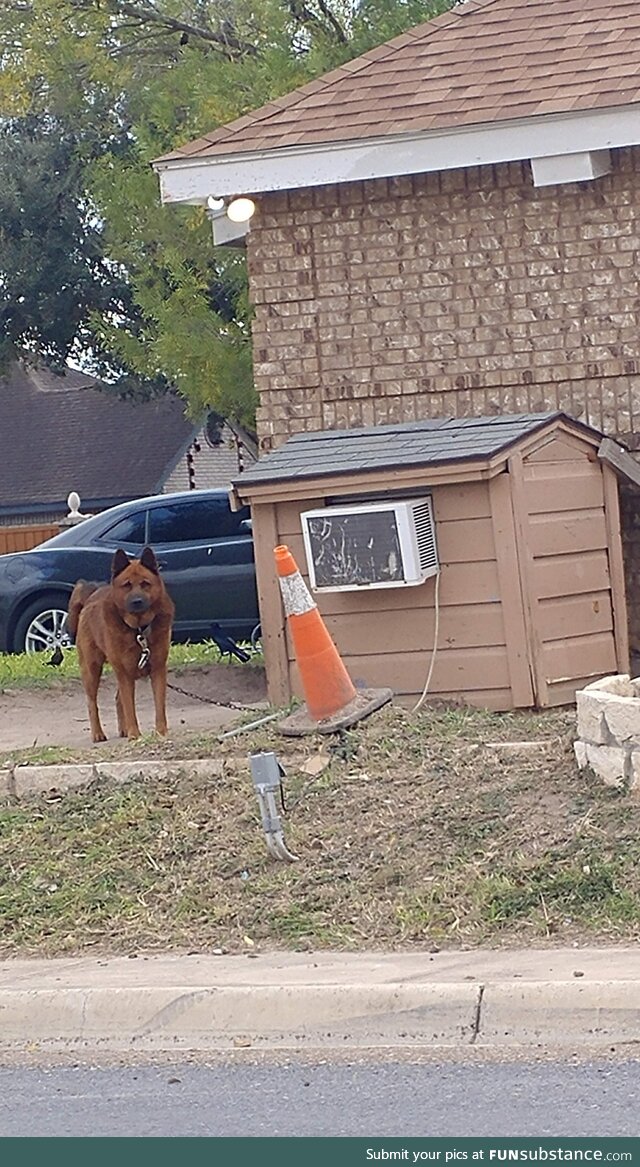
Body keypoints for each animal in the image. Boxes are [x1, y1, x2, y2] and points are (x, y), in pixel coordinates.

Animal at [67, 543, 175, 737]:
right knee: (92, 702)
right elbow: (129, 707)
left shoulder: (158, 670)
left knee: (118, 699)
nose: (137, 601)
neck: (139, 630)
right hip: (91, 669)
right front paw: (135, 735)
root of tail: (89, 598)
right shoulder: (124, 673)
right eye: (127, 585)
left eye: (145, 584)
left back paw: (123, 729)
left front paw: (161, 732)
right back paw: (97, 734)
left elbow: (159, 706)